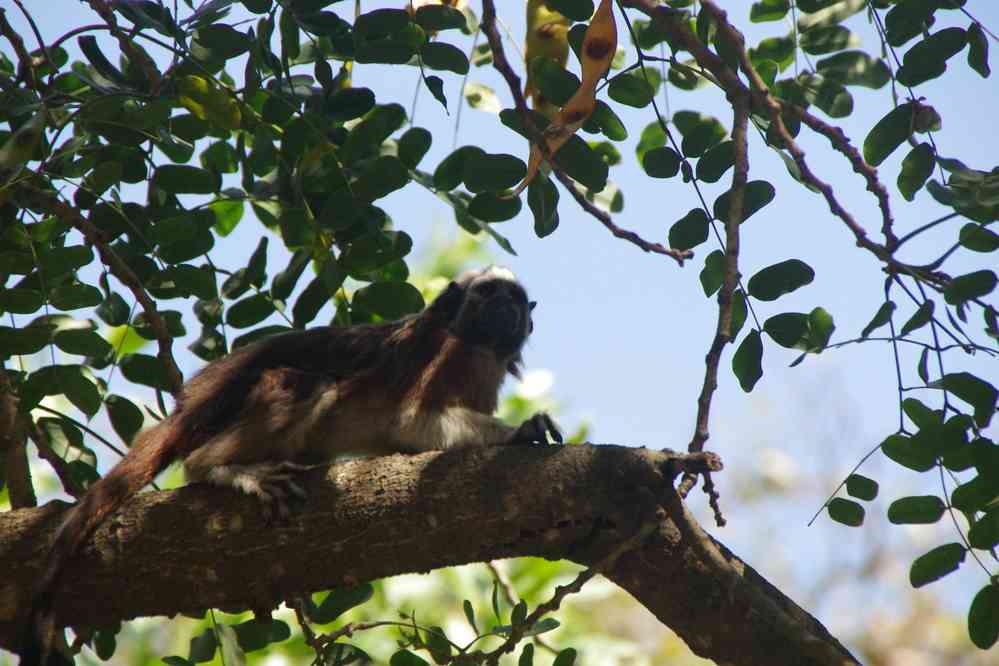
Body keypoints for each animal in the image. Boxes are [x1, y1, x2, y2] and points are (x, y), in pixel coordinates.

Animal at [21, 264, 564, 664]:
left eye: (514, 299)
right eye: (487, 292)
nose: (503, 305)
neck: (477, 346)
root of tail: (193, 400)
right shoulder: (441, 355)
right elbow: (411, 422)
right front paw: (521, 431)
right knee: (304, 385)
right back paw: (221, 468)